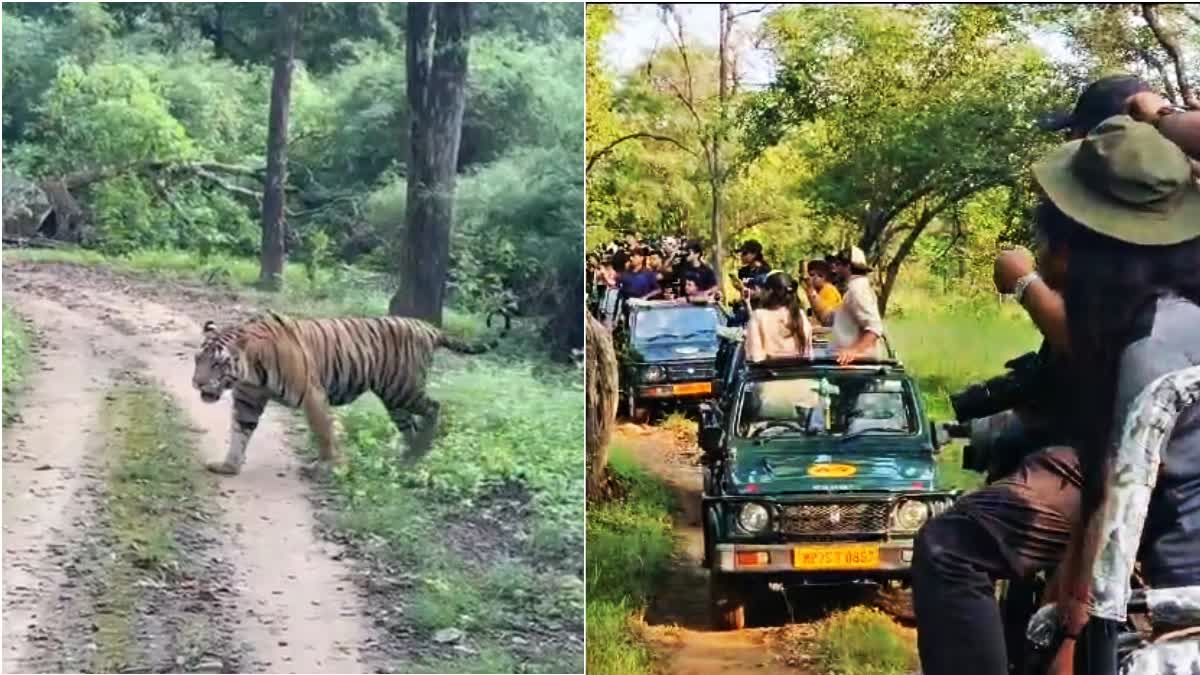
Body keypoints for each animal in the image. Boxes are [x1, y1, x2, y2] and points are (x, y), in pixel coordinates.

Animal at [192, 309, 501, 473]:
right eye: (198, 360)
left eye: (217, 363)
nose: (197, 383)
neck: (251, 371)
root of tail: (427, 327)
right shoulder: (249, 400)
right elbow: (239, 433)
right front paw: (229, 466)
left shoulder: (312, 395)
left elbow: (323, 432)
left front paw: (327, 465)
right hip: (395, 400)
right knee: (410, 425)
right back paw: (407, 459)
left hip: (403, 390)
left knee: (434, 407)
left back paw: (422, 449)